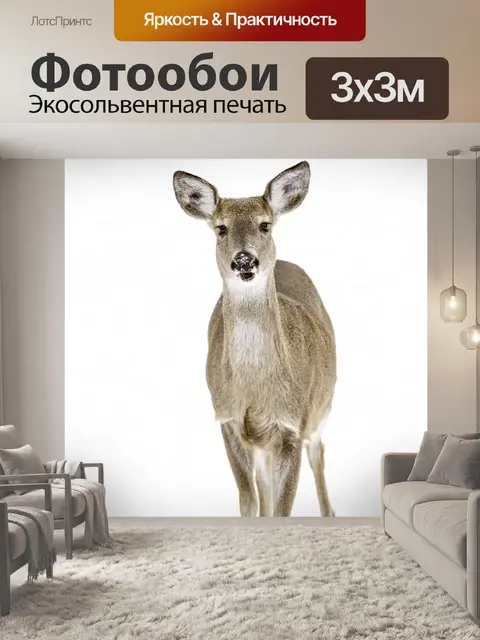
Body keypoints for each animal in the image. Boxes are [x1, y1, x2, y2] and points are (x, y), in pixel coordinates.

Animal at [173, 161, 336, 517]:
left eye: (265, 225)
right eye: (220, 228)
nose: (244, 260)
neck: (256, 388)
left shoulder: (292, 424)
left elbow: (283, 508)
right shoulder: (228, 420)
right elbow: (249, 501)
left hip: (321, 405)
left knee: (318, 454)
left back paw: (330, 512)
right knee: (265, 489)